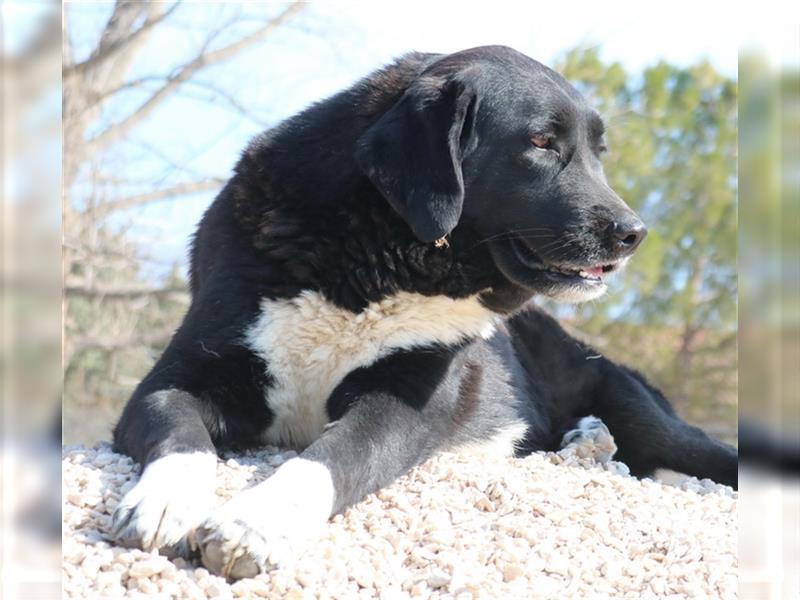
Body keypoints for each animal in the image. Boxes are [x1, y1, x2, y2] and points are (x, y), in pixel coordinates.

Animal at [108, 47, 736, 580]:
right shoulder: (173, 379)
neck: (373, 261)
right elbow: (182, 432)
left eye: (597, 154)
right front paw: (164, 501)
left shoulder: (403, 404)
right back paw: (585, 441)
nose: (634, 234)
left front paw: (255, 522)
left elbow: (333, 457)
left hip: (632, 402)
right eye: (540, 142)